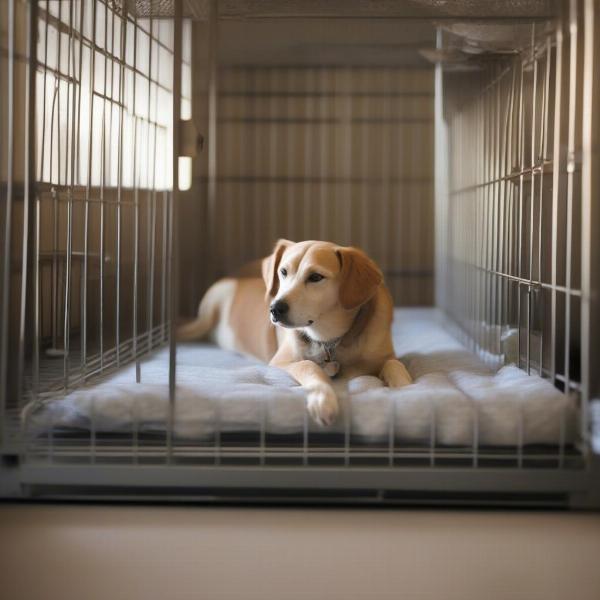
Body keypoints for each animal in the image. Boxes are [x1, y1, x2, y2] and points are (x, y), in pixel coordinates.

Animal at [178, 239, 412, 426]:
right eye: (283, 272)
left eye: (316, 277)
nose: (274, 308)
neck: (329, 340)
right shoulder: (282, 361)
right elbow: (309, 365)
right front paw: (323, 399)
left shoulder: (383, 355)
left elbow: (394, 364)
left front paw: (405, 387)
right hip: (209, 310)